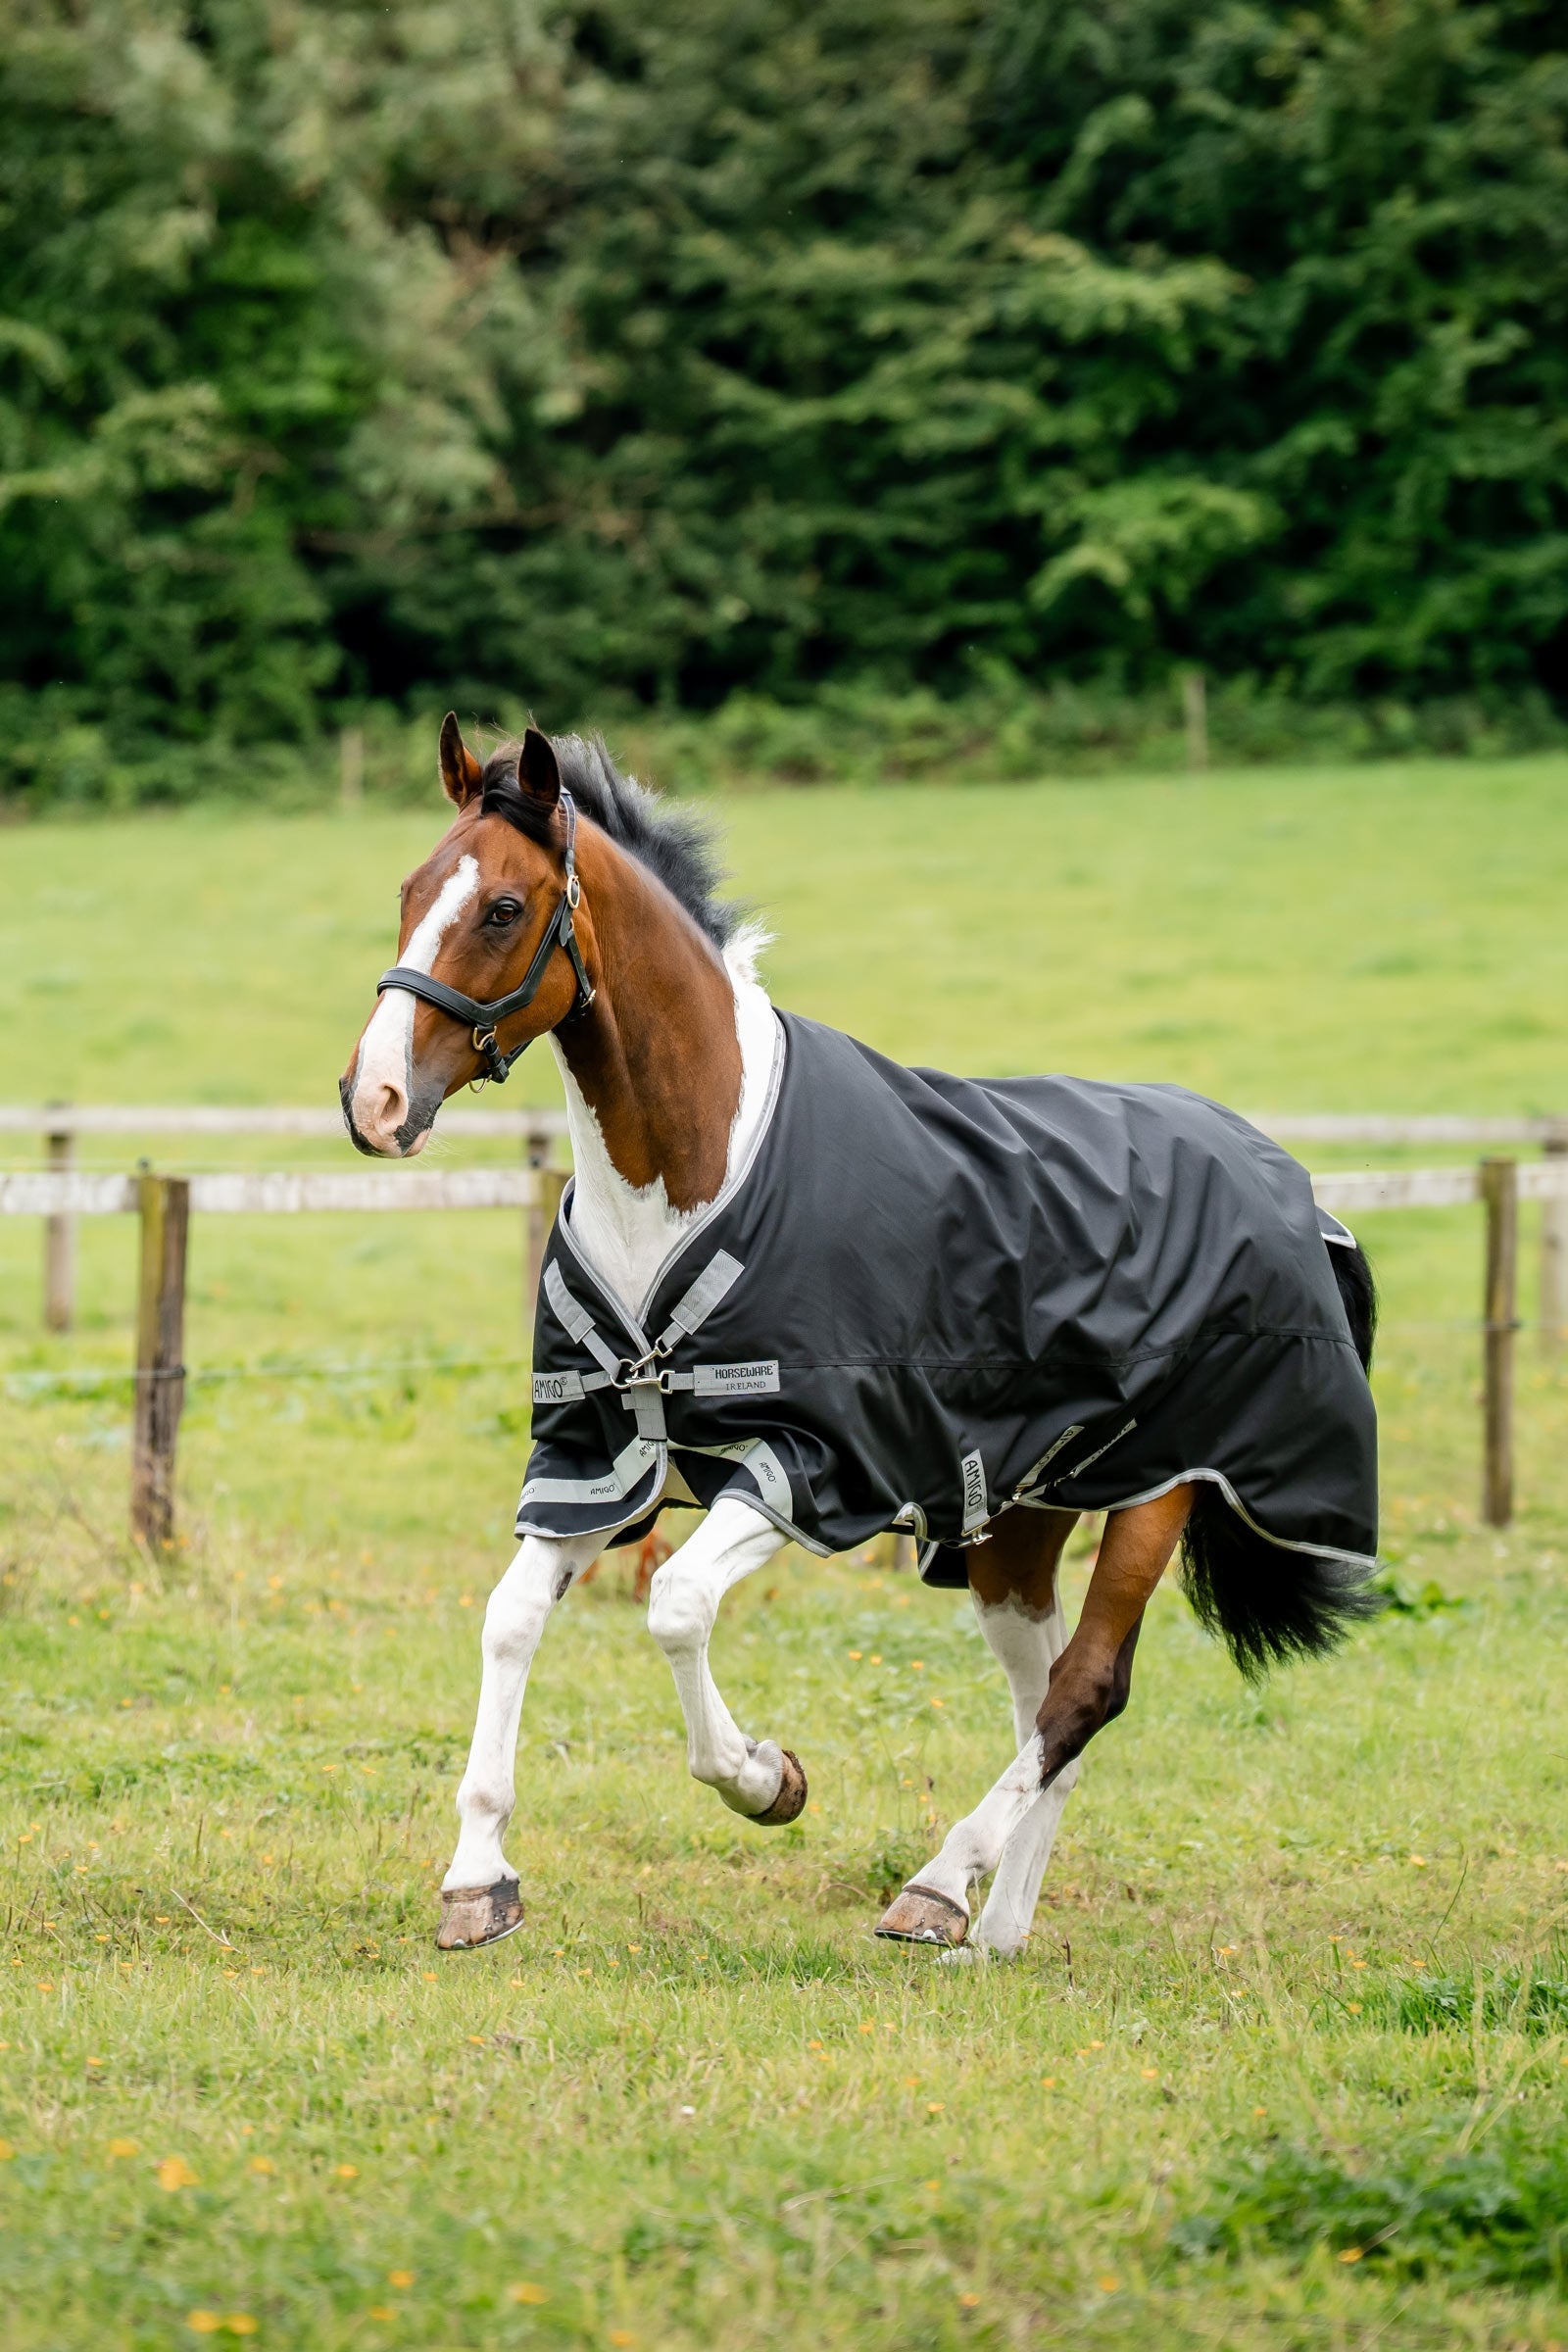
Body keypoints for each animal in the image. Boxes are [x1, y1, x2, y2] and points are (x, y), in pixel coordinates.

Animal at [340, 718, 1380, 1958]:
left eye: (501, 907)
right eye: (408, 891)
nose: (374, 1101)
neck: (687, 1176)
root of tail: (1287, 1179)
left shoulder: (809, 1464)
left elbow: (675, 1605)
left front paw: (765, 1779)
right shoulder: (599, 1463)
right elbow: (508, 1621)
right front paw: (477, 1881)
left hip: (1162, 1487)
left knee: (1086, 1689)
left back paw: (937, 1888)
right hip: (1014, 1521)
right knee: (1046, 1709)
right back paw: (995, 1931)